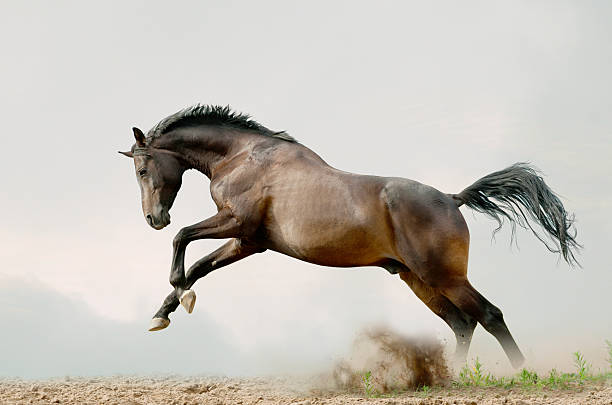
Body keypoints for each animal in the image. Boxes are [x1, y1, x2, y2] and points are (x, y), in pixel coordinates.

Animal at [118, 103, 580, 366]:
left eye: (142, 169)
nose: (153, 218)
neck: (242, 156)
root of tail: (452, 199)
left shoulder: (237, 225)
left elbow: (183, 241)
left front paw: (179, 297)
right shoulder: (250, 242)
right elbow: (197, 264)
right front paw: (164, 312)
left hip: (444, 276)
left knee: (490, 315)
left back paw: (522, 372)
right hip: (418, 279)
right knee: (462, 323)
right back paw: (452, 378)